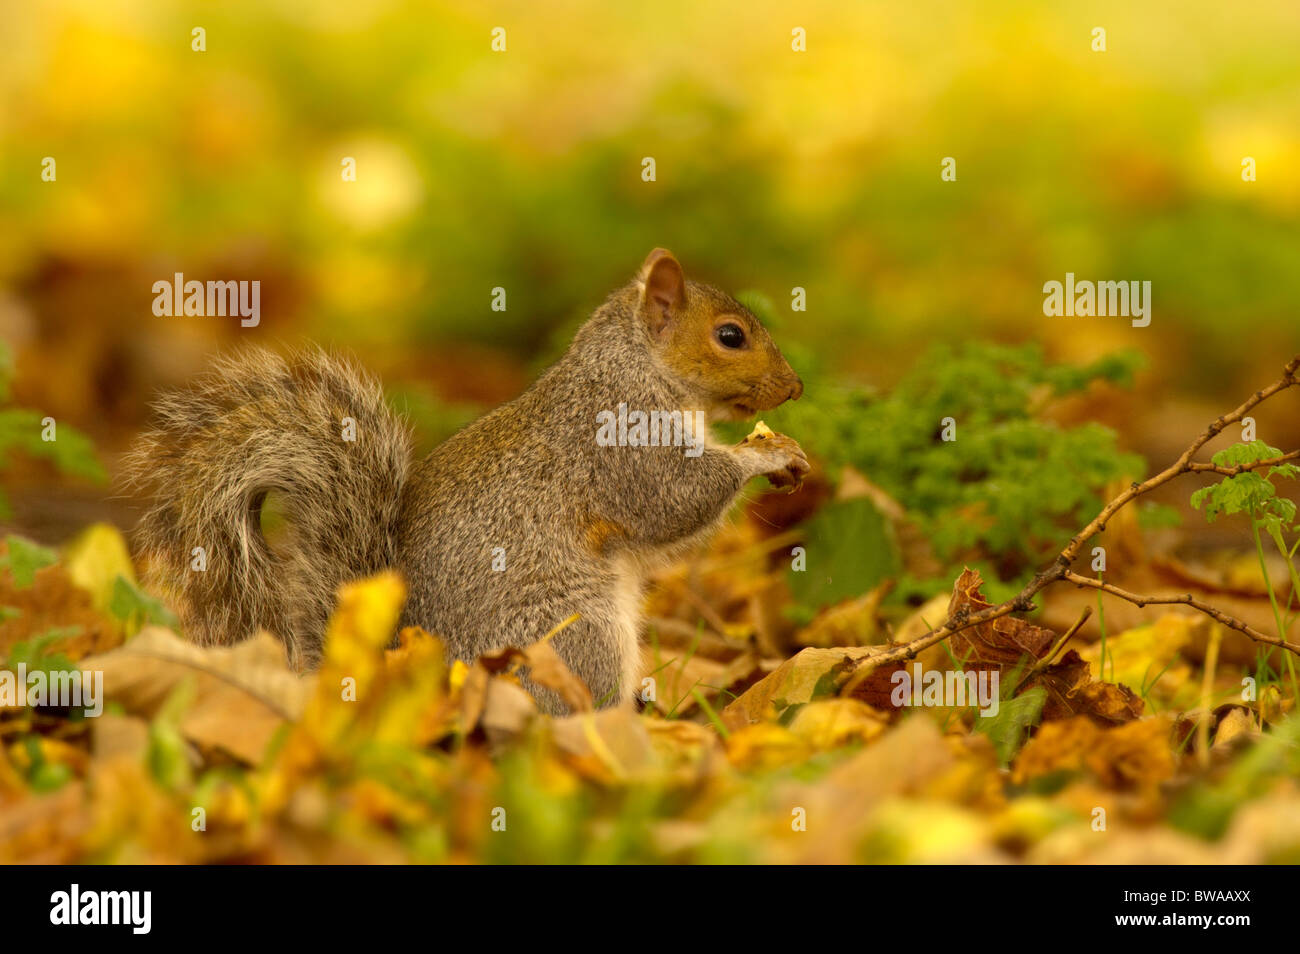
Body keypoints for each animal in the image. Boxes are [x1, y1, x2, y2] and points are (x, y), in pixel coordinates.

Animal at [126, 249, 808, 713]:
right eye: (729, 336)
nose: (796, 387)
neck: (634, 366)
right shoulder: (621, 441)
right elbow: (676, 498)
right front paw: (764, 456)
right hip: (570, 635)